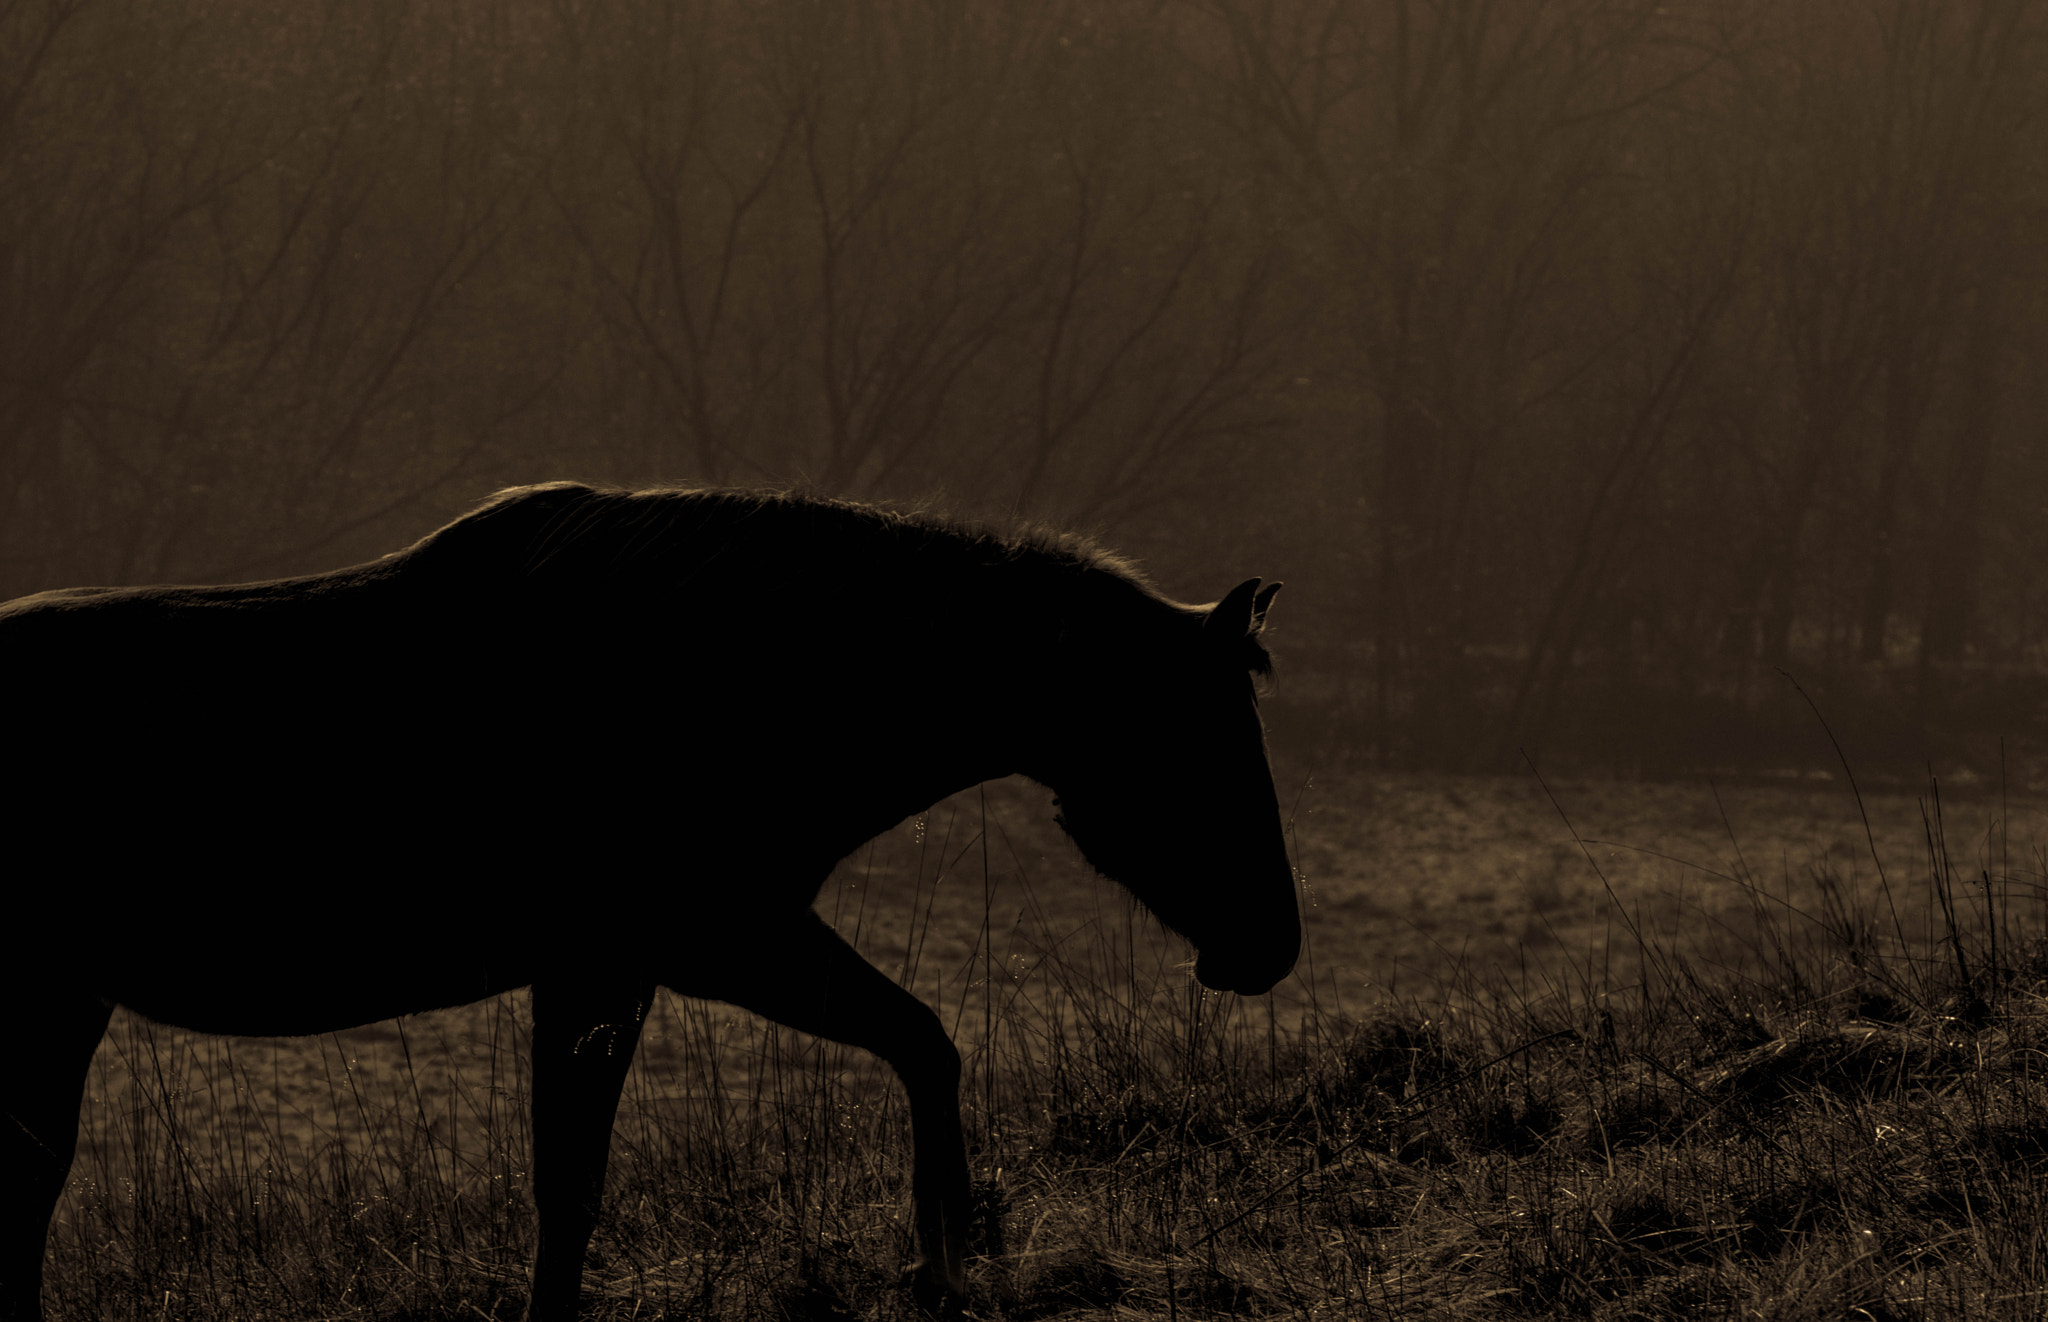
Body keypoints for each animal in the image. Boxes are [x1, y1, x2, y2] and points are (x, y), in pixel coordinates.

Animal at [1, 481, 1300, 1321]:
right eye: (1199, 735)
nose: (1272, 942)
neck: (724, 681)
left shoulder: (644, 962)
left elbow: (585, 1177)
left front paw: (947, 1257)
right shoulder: (697, 942)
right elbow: (580, 1177)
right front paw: (943, 1259)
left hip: (63, 1006)